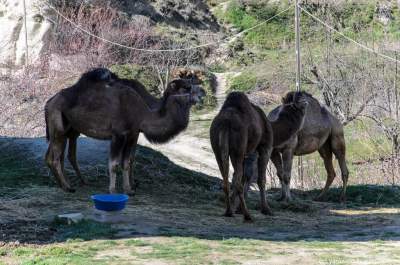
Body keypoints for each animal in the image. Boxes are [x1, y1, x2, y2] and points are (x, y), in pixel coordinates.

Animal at [45, 67, 205, 193]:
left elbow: (127, 162)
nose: (203, 93)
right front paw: (113, 190)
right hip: (59, 126)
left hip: (66, 131)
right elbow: (114, 163)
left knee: (58, 156)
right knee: (54, 158)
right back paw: (68, 187)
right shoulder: (119, 135)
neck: (142, 112)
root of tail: (49, 102)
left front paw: (129, 189)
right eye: (186, 87)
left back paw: (68, 184)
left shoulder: (132, 134)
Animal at [209, 92, 276, 220]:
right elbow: (261, 179)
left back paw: (229, 211)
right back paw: (247, 215)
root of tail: (225, 123)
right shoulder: (265, 147)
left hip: (217, 149)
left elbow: (244, 176)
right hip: (238, 150)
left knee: (228, 179)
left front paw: (236, 208)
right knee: (237, 181)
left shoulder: (246, 153)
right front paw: (266, 209)